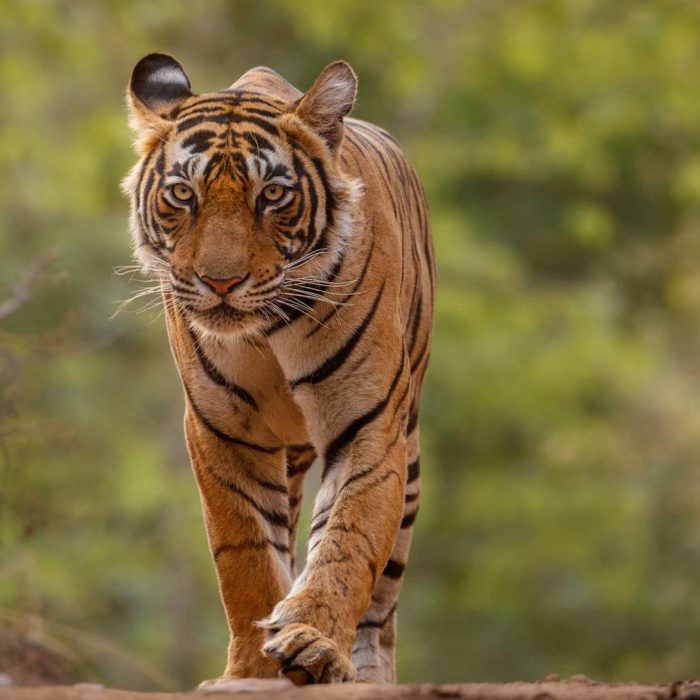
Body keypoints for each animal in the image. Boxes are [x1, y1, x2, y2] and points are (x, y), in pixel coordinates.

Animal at [122, 53, 435, 685]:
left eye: (272, 195)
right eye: (182, 194)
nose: (220, 282)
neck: (266, 331)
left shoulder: (369, 423)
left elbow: (348, 539)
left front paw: (314, 643)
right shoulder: (223, 431)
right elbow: (246, 556)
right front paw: (250, 668)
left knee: (381, 602)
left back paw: (366, 673)